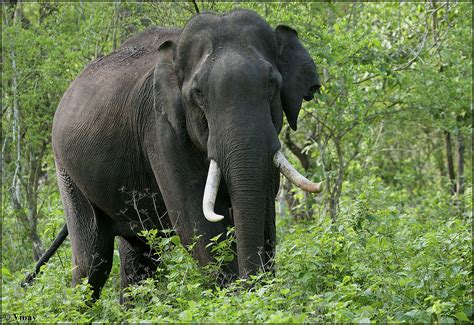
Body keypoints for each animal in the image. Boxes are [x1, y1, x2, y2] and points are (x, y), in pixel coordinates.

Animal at [23, 8, 322, 302]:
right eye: (198, 93)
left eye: (273, 82)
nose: (253, 287)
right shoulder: (161, 132)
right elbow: (196, 225)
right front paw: (237, 298)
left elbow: (265, 210)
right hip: (67, 172)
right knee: (92, 263)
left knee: (140, 255)